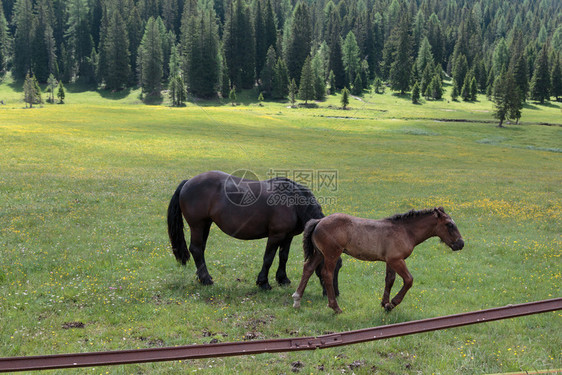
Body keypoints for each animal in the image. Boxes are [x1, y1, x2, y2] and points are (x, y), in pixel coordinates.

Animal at [166, 170, 342, 290]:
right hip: (197, 225)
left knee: (200, 249)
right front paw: (263, 282)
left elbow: (283, 257)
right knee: (196, 249)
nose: (335, 294)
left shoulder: (288, 236)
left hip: (206, 224)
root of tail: (188, 182)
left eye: (339, 267)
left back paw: (203, 276)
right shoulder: (276, 235)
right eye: (328, 269)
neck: (293, 202)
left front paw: (282, 279)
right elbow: (268, 258)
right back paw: (206, 280)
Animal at [290, 209, 462, 314]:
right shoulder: (397, 260)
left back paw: (297, 300)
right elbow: (408, 280)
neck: (405, 231)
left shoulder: (390, 261)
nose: (461, 244)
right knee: (327, 274)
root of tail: (319, 221)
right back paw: (335, 307)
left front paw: (384, 304)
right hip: (331, 254)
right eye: (449, 224)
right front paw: (392, 303)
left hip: (319, 253)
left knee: (308, 268)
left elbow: (389, 280)